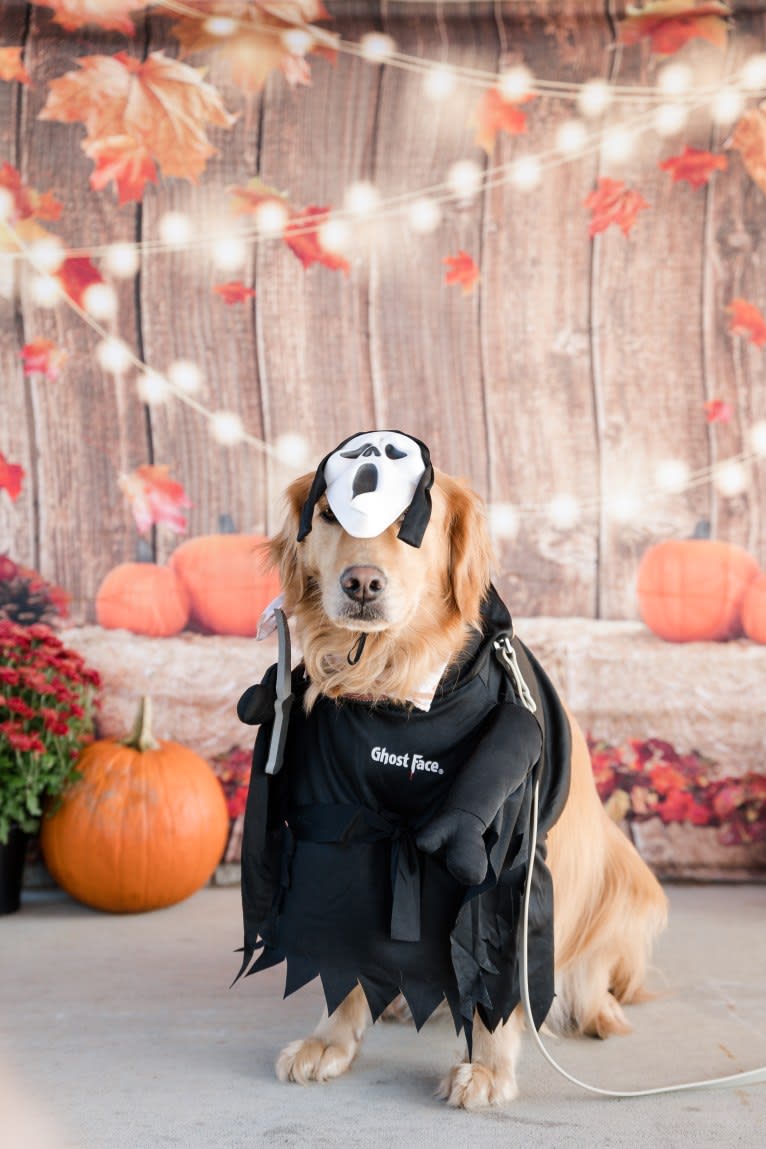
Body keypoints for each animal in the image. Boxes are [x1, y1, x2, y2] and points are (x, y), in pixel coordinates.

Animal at [254, 461, 666, 1107]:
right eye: (326, 515)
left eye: (411, 521)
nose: (362, 583)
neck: (393, 685)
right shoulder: (341, 823)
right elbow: (343, 940)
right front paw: (329, 1040)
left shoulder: (501, 856)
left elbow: (492, 966)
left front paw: (489, 1068)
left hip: (621, 884)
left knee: (591, 968)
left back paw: (597, 1012)